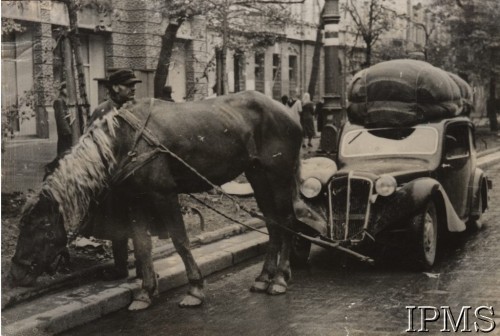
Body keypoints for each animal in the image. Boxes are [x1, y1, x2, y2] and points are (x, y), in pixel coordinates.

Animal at [9, 89, 302, 310]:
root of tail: (290, 113)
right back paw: (264, 277)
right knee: (273, 223)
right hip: (258, 175)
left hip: (278, 176)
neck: (125, 142)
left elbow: (180, 241)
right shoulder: (136, 200)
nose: (16, 273)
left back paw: (279, 278)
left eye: (40, 226)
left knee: (287, 222)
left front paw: (195, 288)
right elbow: (141, 245)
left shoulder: (164, 195)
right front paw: (145, 292)